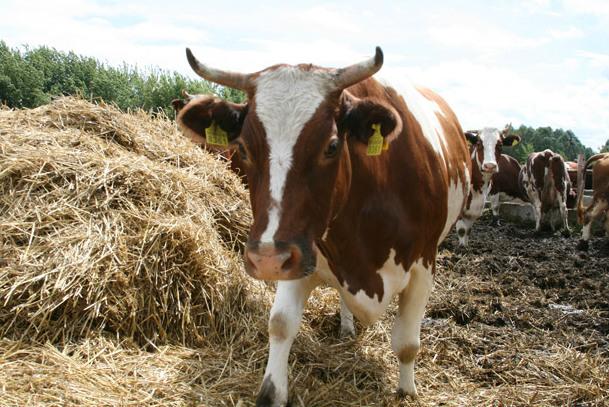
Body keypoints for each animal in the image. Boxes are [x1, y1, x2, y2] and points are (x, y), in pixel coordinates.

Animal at [175, 46, 470, 406]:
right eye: (242, 148)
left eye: (331, 145)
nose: (265, 260)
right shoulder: (296, 253)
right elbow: (280, 324)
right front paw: (272, 390)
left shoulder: (423, 267)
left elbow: (407, 343)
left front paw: (407, 390)